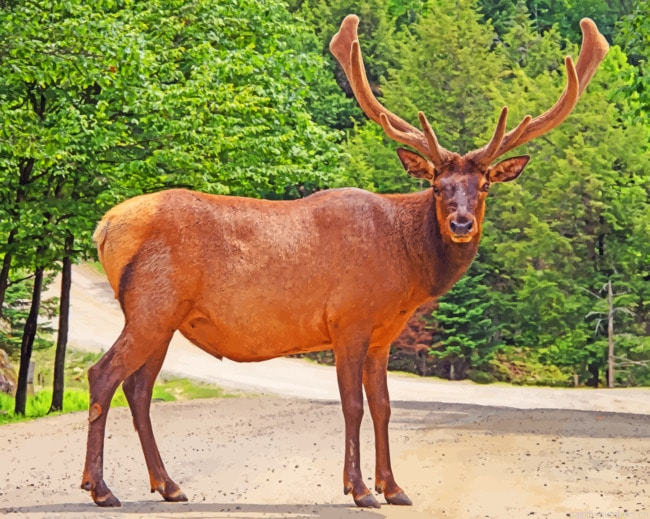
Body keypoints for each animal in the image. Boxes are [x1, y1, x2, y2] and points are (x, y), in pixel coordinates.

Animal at [81, 14, 608, 509]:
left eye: (483, 187)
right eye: (437, 185)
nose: (461, 224)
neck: (407, 270)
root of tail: (104, 227)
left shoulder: (383, 335)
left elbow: (384, 406)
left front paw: (395, 487)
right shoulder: (348, 319)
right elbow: (353, 404)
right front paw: (359, 489)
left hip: (165, 317)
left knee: (139, 389)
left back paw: (168, 485)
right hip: (152, 305)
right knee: (103, 375)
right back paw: (100, 487)